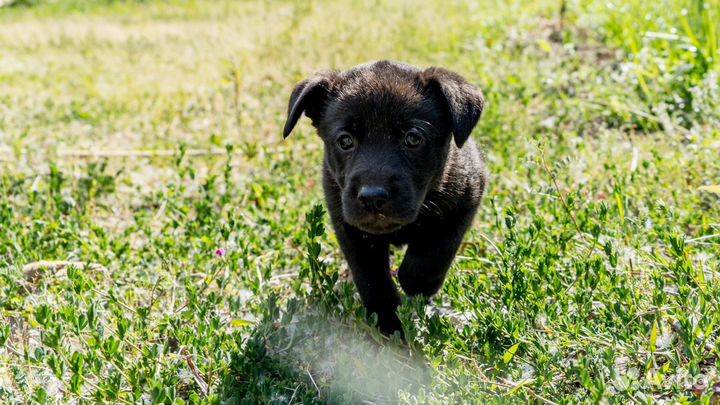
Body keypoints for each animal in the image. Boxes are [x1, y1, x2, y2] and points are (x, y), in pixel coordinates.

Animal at [282, 59, 490, 332]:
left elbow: (435, 249)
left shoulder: (467, 195)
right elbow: (371, 278)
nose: (372, 197)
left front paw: (415, 282)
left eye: (413, 138)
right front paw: (389, 323)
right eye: (345, 141)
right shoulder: (348, 225)